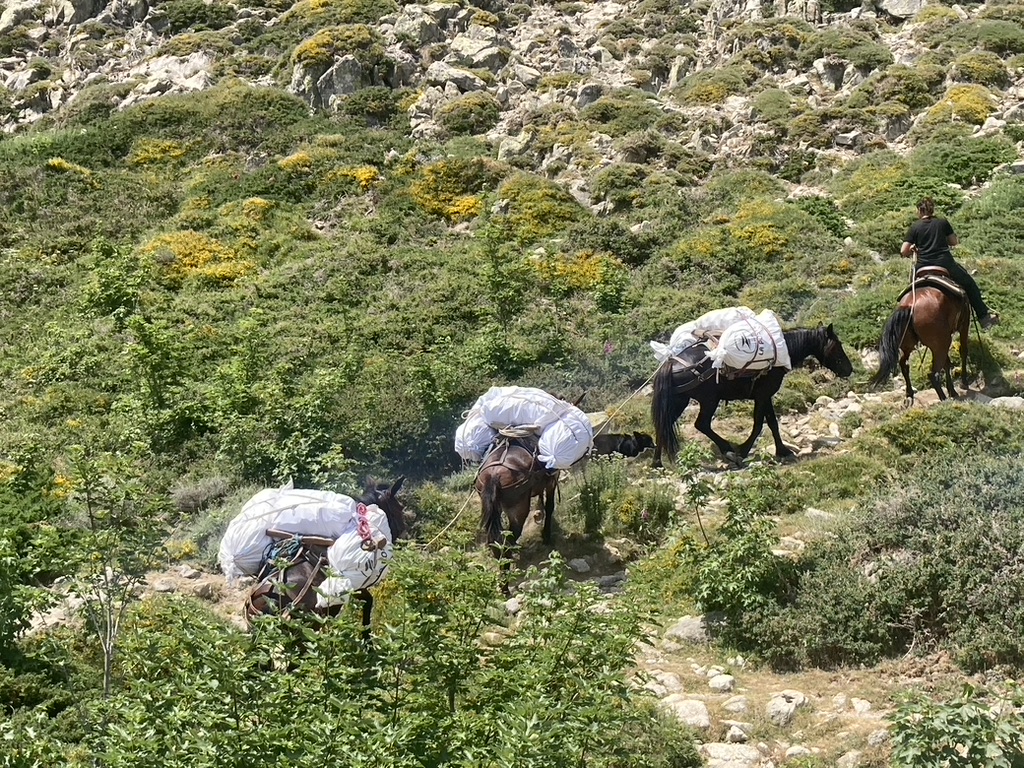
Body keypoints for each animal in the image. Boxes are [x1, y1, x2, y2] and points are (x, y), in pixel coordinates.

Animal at [655, 325, 856, 468]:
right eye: (837, 346)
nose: (849, 369)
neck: (781, 353)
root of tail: (671, 363)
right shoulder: (763, 395)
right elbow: (761, 423)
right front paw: (744, 450)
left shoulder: (764, 396)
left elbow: (771, 422)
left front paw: (782, 450)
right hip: (708, 400)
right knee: (701, 424)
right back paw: (729, 451)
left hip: (680, 401)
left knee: (662, 425)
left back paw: (657, 462)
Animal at [872, 268, 966, 405]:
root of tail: (909, 306)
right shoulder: (964, 325)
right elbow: (963, 351)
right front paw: (963, 382)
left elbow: (947, 363)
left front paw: (952, 390)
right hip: (940, 343)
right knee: (932, 373)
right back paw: (943, 400)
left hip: (911, 344)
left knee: (904, 364)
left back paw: (909, 393)